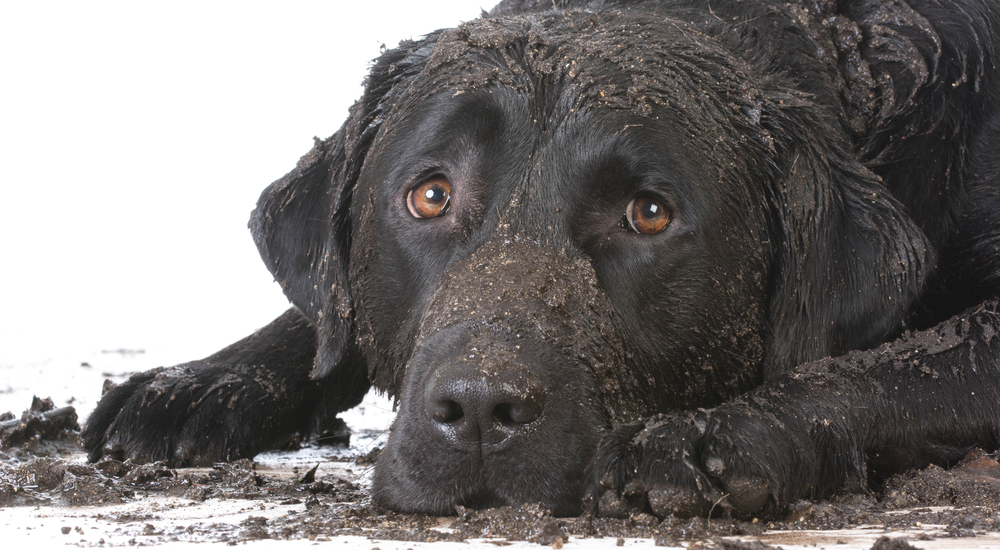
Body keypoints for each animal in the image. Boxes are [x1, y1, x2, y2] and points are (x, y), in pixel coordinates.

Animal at [84, 0, 1000, 520]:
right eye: (431, 196)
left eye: (649, 215)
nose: (480, 410)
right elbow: (321, 316)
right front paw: (200, 381)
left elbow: (875, 366)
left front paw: (714, 434)